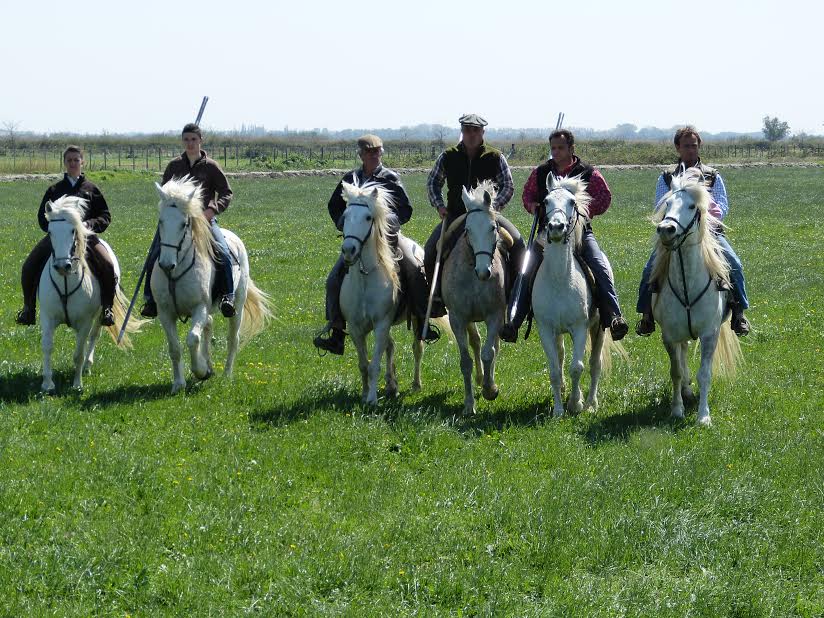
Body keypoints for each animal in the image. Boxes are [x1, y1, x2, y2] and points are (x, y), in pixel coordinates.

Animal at [38, 195, 142, 392]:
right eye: (50, 232)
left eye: (73, 230)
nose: (62, 266)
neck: (65, 282)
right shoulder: (47, 317)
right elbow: (47, 347)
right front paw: (47, 383)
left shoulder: (85, 322)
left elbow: (79, 353)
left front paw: (77, 384)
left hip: (101, 313)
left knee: (94, 336)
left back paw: (87, 366)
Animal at [151, 176, 274, 392]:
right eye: (161, 221)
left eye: (184, 224)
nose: (166, 264)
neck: (176, 272)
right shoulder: (165, 313)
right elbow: (175, 348)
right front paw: (179, 383)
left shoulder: (199, 307)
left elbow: (192, 339)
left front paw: (200, 371)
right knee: (208, 327)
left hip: (237, 305)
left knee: (232, 339)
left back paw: (226, 375)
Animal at [444, 182, 508, 414]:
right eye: (468, 230)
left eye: (492, 228)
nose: (483, 272)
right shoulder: (458, 318)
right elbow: (466, 360)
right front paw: (469, 404)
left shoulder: (495, 315)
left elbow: (489, 353)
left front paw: (491, 390)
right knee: (476, 342)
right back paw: (480, 379)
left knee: (492, 346)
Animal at [536, 176, 624, 416]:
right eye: (545, 201)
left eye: (572, 202)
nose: (556, 227)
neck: (560, 280)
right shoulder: (546, 329)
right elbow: (555, 370)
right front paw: (558, 410)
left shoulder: (580, 328)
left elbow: (577, 367)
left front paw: (576, 404)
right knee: (561, 357)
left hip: (599, 328)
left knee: (595, 364)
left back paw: (592, 403)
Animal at [652, 172, 740, 424]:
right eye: (667, 204)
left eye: (692, 206)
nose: (666, 229)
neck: (687, 285)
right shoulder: (669, 335)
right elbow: (676, 371)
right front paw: (677, 410)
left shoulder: (710, 334)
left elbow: (705, 374)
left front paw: (703, 416)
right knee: (682, 358)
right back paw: (686, 391)